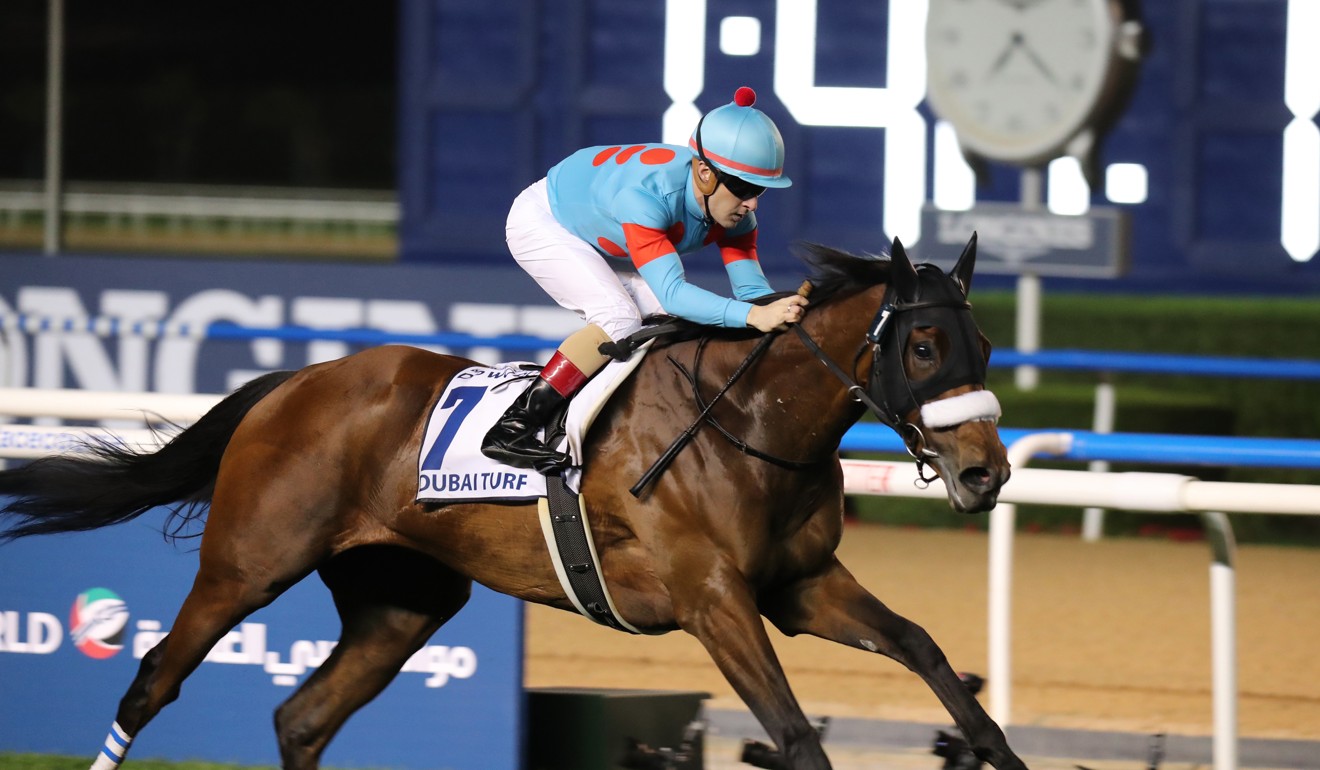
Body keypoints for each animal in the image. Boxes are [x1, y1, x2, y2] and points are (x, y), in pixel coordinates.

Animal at [0, 237, 1019, 766]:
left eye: (983, 344)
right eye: (923, 346)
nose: (987, 475)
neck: (749, 425)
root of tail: (298, 381)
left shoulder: (798, 586)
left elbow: (924, 650)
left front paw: (993, 749)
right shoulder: (713, 598)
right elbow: (796, 735)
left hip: (402, 601)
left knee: (304, 717)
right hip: (248, 563)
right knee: (152, 681)